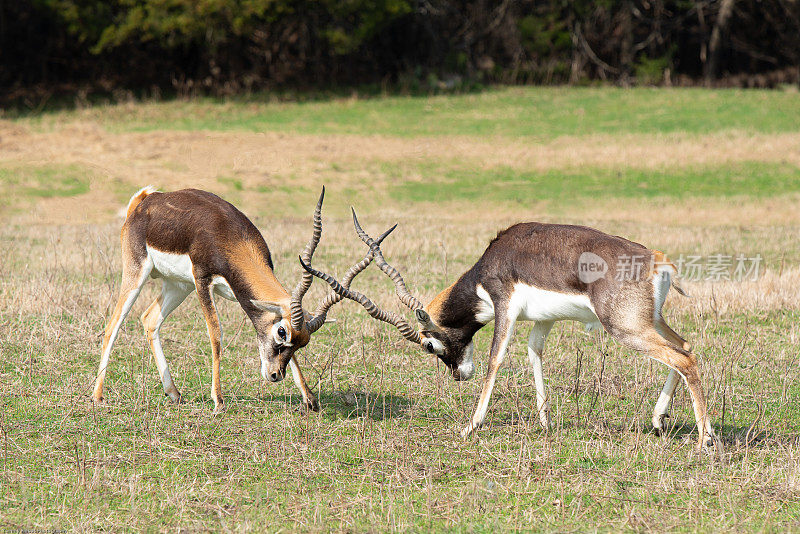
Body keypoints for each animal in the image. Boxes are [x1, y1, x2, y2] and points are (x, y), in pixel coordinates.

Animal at [94, 186, 394, 412]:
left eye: (301, 343)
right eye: (281, 332)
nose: (275, 376)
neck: (230, 236)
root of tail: (145, 201)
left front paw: (310, 399)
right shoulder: (202, 281)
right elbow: (216, 335)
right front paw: (218, 400)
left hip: (178, 285)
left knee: (150, 320)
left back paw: (174, 394)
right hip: (138, 273)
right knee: (113, 326)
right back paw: (97, 396)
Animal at [302, 216, 724, 454]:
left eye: (431, 345)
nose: (458, 375)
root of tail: (656, 260)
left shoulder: (504, 307)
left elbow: (496, 359)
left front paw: (470, 427)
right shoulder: (542, 321)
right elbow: (534, 352)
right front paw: (545, 422)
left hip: (625, 328)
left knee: (684, 358)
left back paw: (704, 441)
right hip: (651, 321)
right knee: (685, 347)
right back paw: (658, 422)